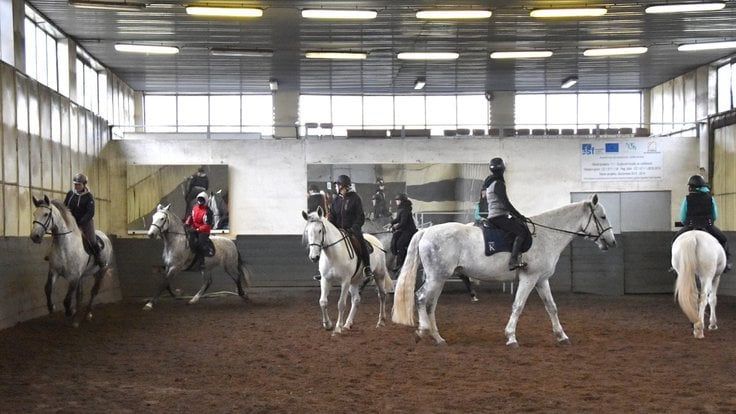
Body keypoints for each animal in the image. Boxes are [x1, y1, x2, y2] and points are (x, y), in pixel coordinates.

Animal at [30, 196, 113, 326]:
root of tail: (105, 237)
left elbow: (67, 299)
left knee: (94, 291)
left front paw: (70, 311)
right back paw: (76, 319)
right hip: (83, 276)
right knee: (80, 295)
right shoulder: (54, 271)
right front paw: (51, 307)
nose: (35, 237)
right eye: (34, 214)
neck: (65, 245)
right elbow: (48, 288)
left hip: (101, 271)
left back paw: (87, 314)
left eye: (46, 214)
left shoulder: (74, 277)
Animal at [392, 194, 616, 346]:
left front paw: (562, 336)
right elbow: (518, 306)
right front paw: (511, 337)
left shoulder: (541, 280)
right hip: (436, 277)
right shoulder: (529, 278)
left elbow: (551, 307)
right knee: (421, 298)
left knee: (430, 304)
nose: (612, 242)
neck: (546, 235)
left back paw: (438, 338)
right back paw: (422, 332)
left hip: (439, 278)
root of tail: (426, 231)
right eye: (603, 217)